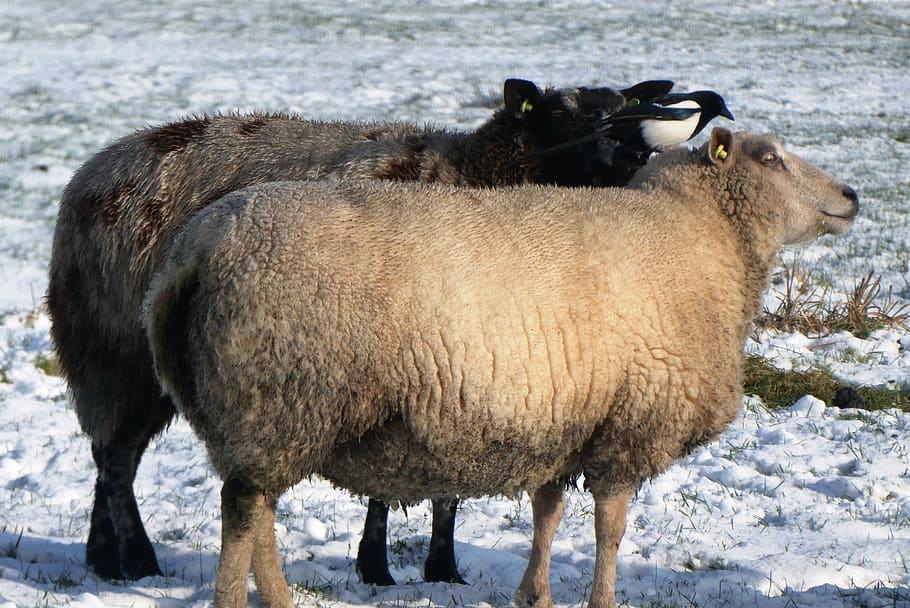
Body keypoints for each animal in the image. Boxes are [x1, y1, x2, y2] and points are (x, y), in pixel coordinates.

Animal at [45, 76, 676, 584]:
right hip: (113, 350)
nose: (633, 153)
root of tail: (95, 168)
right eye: (563, 114)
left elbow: (446, 491)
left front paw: (441, 570)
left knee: (110, 456)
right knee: (116, 459)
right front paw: (377, 568)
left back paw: (103, 556)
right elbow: (389, 487)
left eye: (627, 106)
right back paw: (134, 559)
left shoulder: (461, 364)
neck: (468, 171)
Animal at [143, 127, 859, 608]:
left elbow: (547, 515)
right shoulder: (627, 426)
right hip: (282, 394)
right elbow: (610, 529)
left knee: (257, 512)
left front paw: (533, 594)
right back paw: (237, 598)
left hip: (259, 415)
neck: (698, 236)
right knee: (243, 515)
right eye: (769, 158)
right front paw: (601, 599)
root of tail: (195, 249)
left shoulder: (567, 420)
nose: (852, 195)